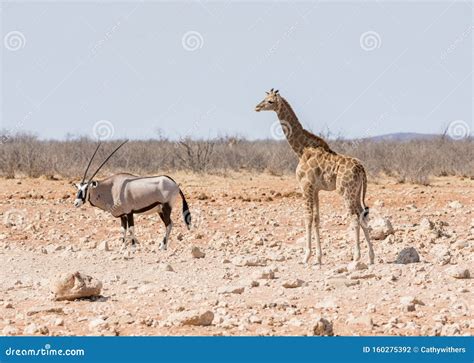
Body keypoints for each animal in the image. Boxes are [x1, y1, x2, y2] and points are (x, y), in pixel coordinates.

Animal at [256, 89, 374, 266]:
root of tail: (362, 169)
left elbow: (307, 218)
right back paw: (372, 257)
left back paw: (356, 256)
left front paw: (306, 256)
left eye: (270, 101)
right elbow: (317, 218)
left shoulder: (306, 186)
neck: (301, 150)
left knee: (354, 218)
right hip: (356, 192)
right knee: (362, 216)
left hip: (346, 192)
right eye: (264, 98)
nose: (257, 107)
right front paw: (318, 257)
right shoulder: (316, 189)